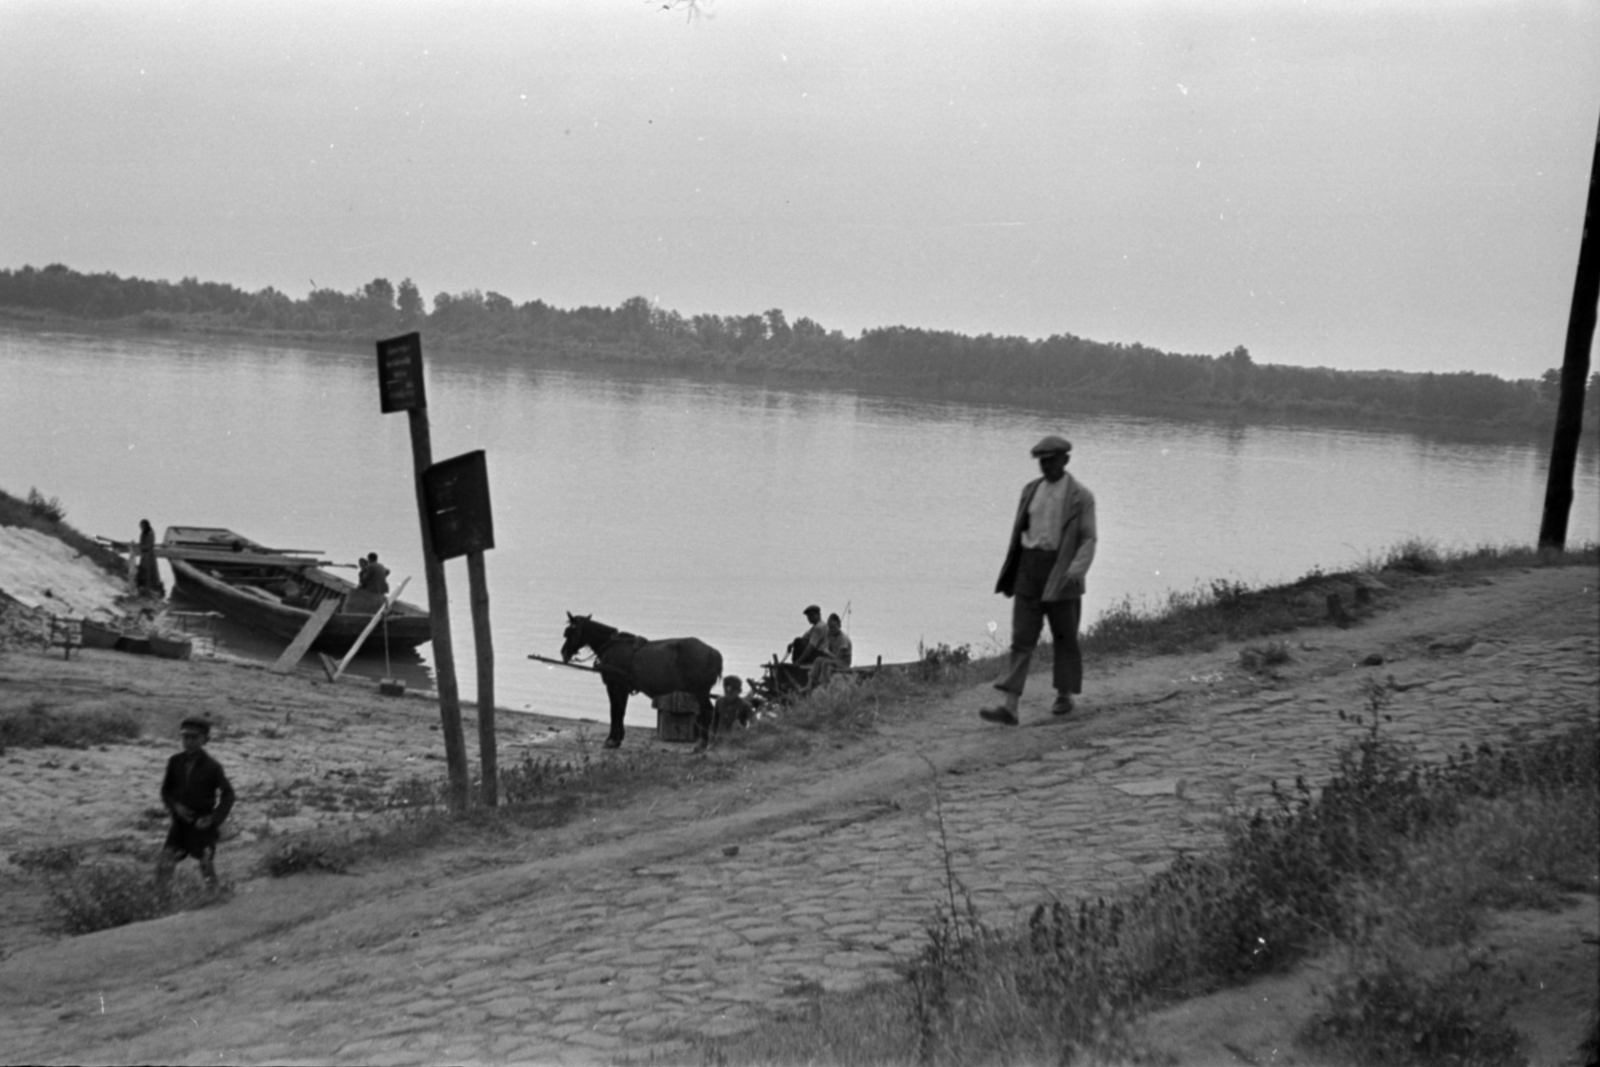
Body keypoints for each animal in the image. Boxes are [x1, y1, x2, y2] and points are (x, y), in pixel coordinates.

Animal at [556, 607, 720, 751]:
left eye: (569, 632)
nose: (563, 653)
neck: (611, 646)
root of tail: (714, 652)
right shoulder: (622, 688)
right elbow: (620, 710)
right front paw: (617, 739)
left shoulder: (615, 685)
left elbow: (615, 710)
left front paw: (611, 740)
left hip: (700, 691)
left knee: (707, 712)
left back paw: (702, 744)